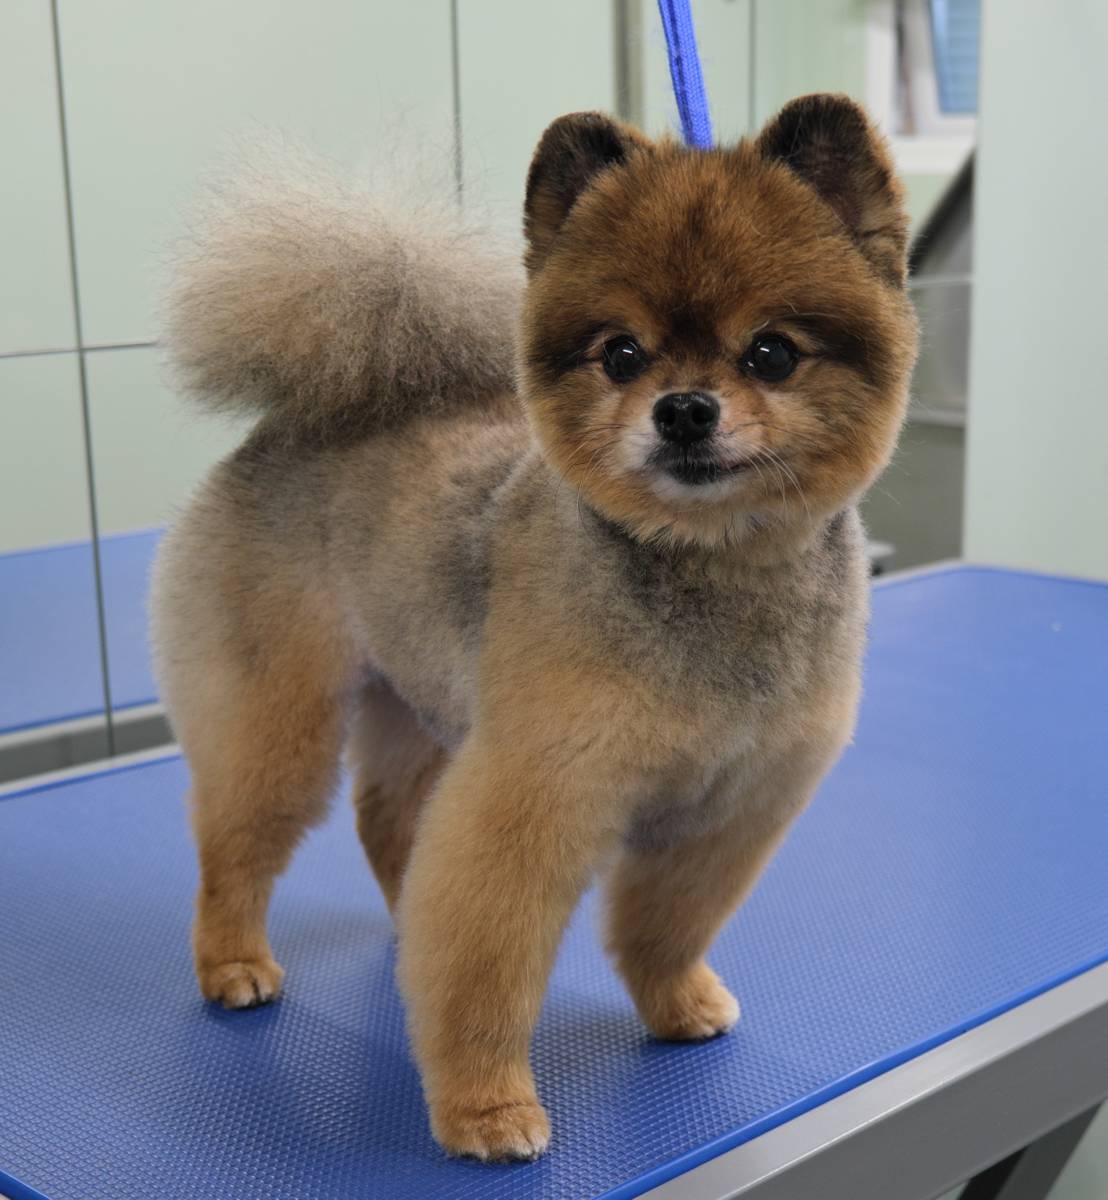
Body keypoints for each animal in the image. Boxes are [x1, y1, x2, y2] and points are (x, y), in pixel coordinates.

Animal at [152, 93, 917, 1162]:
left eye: (771, 352)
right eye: (620, 353)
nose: (685, 409)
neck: (712, 573)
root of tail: (309, 412)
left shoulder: (727, 810)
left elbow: (665, 926)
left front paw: (677, 1003)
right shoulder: (532, 794)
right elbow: (488, 962)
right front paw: (485, 1110)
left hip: (417, 696)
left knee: (389, 822)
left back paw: (403, 929)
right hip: (282, 717)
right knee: (234, 839)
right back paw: (231, 963)